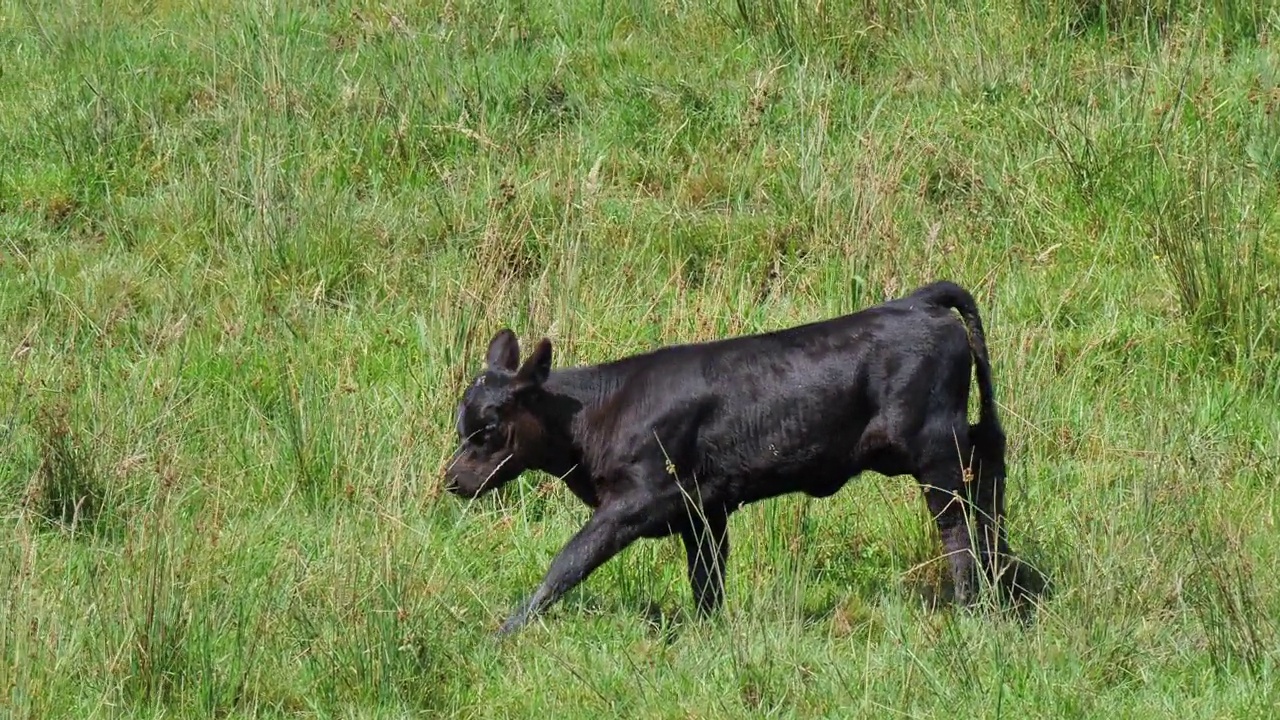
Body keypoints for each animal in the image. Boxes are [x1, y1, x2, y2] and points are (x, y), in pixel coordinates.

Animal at [445, 280, 1044, 632]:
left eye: (488, 430)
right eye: (461, 424)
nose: (451, 480)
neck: (595, 414)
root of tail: (915, 301)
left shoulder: (640, 499)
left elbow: (569, 560)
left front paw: (508, 629)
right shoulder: (703, 510)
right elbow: (706, 579)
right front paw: (705, 636)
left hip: (934, 448)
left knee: (958, 525)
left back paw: (971, 608)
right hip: (959, 441)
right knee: (990, 488)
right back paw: (1003, 592)